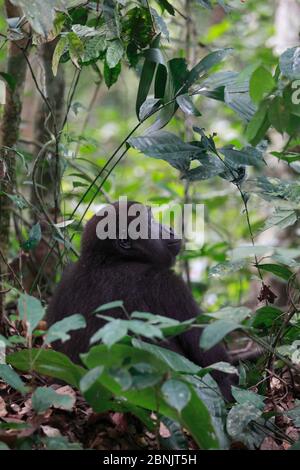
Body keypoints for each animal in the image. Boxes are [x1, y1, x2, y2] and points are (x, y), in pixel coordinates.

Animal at [47, 201, 236, 400]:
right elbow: (214, 361)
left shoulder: (65, 279)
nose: (169, 229)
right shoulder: (168, 284)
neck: (107, 260)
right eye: (150, 222)